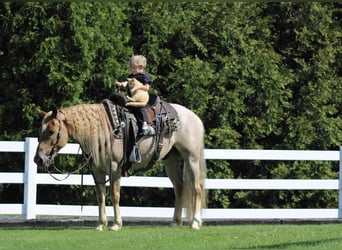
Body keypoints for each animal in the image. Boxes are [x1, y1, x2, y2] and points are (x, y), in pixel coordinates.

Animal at [34, 100, 206, 230]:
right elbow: (100, 196)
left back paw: (195, 222)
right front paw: (100, 224)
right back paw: (175, 222)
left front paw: (116, 224)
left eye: (51, 131)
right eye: (40, 131)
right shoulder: (97, 170)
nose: (39, 159)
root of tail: (194, 117)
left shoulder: (115, 168)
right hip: (171, 161)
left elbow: (114, 194)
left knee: (196, 188)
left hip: (192, 158)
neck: (103, 131)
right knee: (179, 188)